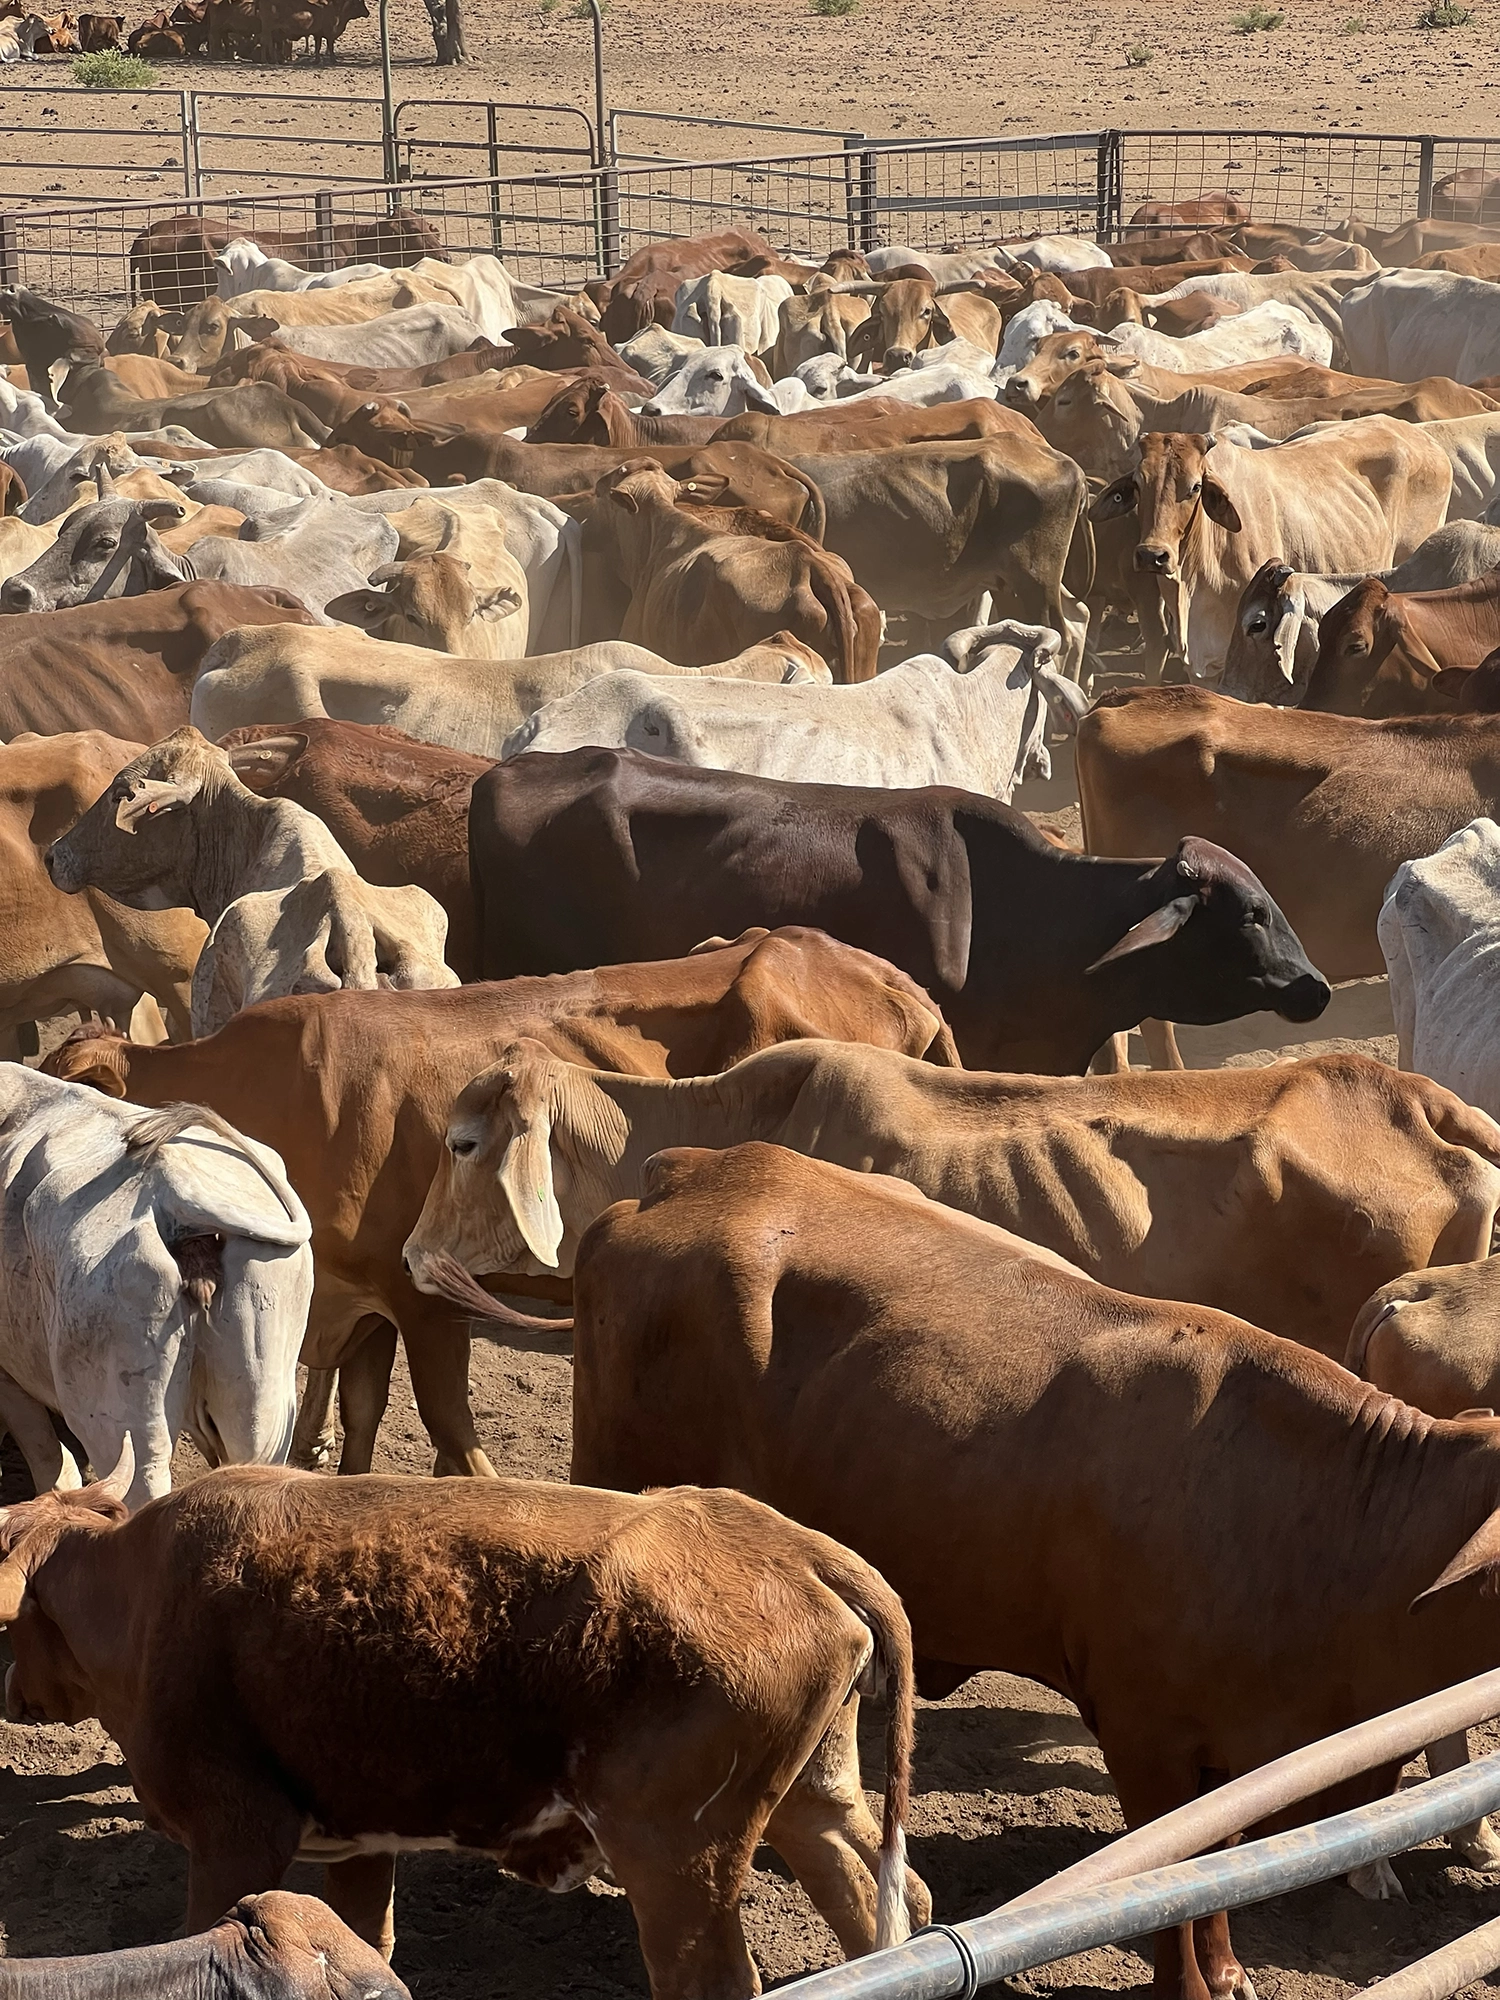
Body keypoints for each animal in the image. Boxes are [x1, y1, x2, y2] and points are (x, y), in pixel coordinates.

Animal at [564, 1137, 1500, 2000]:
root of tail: (700, 1166)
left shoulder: (1231, 1748)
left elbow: (1219, 1860)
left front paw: (1229, 1970)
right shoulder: (1144, 1734)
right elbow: (1165, 1879)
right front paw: (1189, 1982)